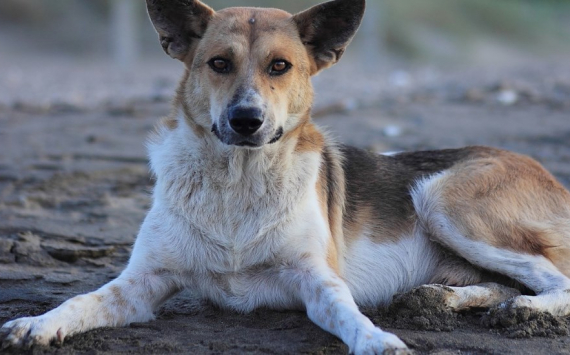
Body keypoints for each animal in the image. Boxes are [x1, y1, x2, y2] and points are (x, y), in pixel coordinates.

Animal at [3, 0, 568, 354]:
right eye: (218, 63)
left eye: (280, 66)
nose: (246, 120)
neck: (237, 183)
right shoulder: (142, 283)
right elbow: (83, 300)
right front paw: (38, 324)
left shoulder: (317, 278)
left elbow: (346, 313)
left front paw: (377, 340)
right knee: (504, 282)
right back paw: (446, 299)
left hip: (441, 199)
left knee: (554, 277)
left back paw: (525, 311)